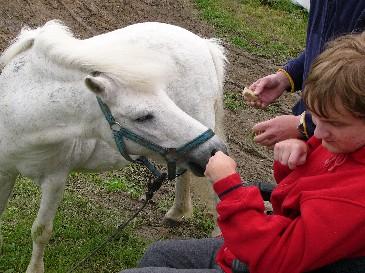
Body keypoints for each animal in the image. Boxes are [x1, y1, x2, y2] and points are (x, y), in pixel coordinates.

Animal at [0, 20, 226, 272]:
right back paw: (177, 213)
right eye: (143, 117)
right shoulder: (5, 171)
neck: (20, 113)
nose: (214, 149)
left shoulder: (55, 180)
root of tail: (204, 44)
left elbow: (41, 231)